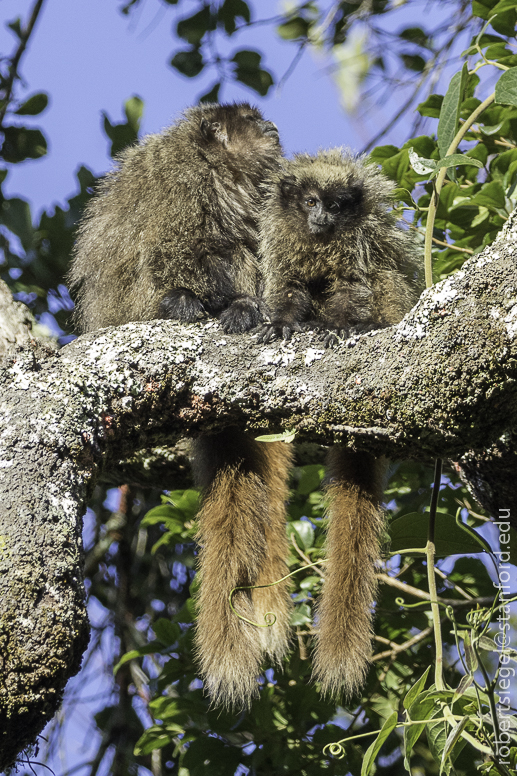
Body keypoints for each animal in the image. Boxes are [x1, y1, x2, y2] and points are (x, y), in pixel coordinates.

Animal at [68, 103, 294, 708]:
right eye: (253, 121)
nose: (273, 129)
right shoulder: (184, 180)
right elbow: (175, 243)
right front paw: (206, 302)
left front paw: (252, 307)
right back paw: (188, 306)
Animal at [256, 149, 422, 700]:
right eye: (309, 202)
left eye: (334, 204)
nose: (322, 218)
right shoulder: (280, 241)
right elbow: (287, 286)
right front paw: (285, 322)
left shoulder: (357, 241)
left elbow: (356, 283)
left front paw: (343, 327)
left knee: (387, 279)